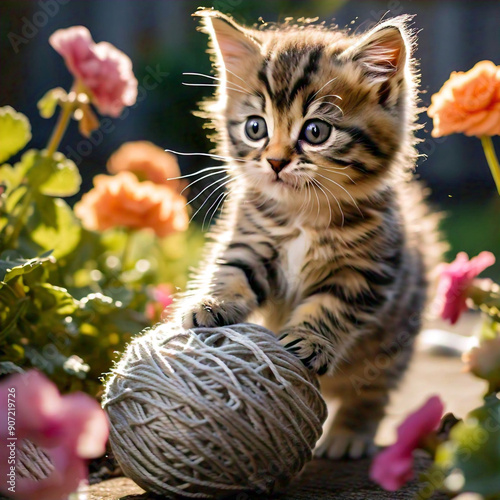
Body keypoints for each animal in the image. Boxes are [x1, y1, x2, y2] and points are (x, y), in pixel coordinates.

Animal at [172, 8, 442, 460]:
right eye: (255, 128)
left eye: (316, 131)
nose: (276, 161)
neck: (303, 215)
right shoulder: (251, 239)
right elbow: (232, 272)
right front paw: (212, 303)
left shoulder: (366, 271)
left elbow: (331, 308)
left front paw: (309, 339)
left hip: (393, 346)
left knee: (371, 393)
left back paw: (349, 433)